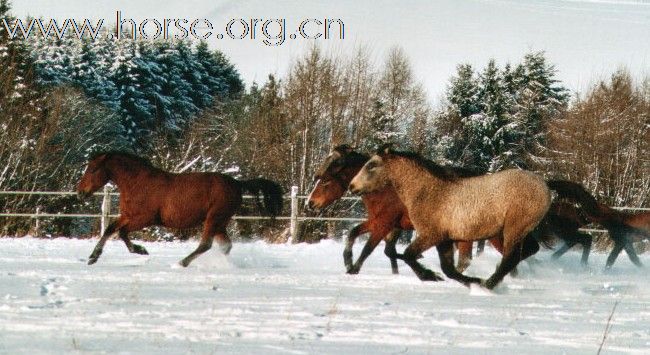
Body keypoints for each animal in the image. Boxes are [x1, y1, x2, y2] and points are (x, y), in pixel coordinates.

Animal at [76, 152, 280, 268]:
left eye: (93, 169)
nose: (80, 192)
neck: (137, 183)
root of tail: (237, 183)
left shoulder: (145, 219)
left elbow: (122, 232)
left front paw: (141, 250)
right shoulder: (127, 215)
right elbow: (111, 228)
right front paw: (93, 257)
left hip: (214, 218)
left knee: (206, 244)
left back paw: (181, 263)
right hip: (220, 222)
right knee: (225, 246)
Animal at [306, 145, 494, 276]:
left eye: (326, 181)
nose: (310, 203)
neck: (385, 188)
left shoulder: (384, 224)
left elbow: (369, 249)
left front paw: (353, 269)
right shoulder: (381, 222)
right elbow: (357, 235)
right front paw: (348, 261)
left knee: (464, 261)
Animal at [346, 147, 548, 290]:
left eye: (371, 165)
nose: (352, 186)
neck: (428, 192)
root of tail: (545, 187)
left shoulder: (430, 235)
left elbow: (409, 255)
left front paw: (429, 276)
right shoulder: (444, 240)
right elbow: (448, 269)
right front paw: (469, 280)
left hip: (512, 230)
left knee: (510, 259)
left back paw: (488, 285)